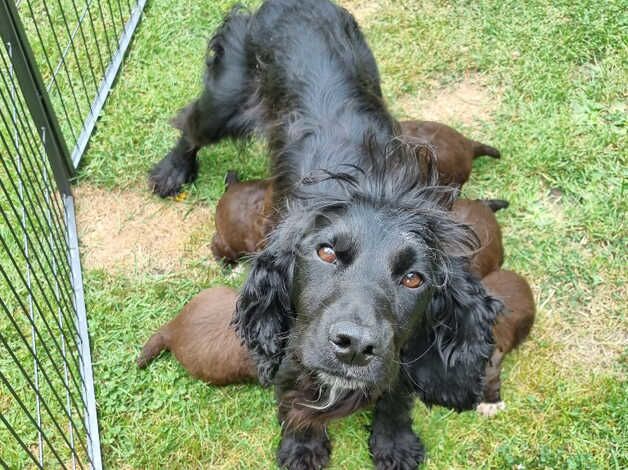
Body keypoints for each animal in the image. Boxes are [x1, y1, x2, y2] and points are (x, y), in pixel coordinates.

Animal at [150, 1, 498, 468]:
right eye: (327, 253)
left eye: (413, 278)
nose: (354, 346)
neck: (375, 183)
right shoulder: (294, 330)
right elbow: (292, 385)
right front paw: (302, 444)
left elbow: (397, 387)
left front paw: (394, 440)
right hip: (224, 98)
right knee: (190, 125)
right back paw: (172, 170)